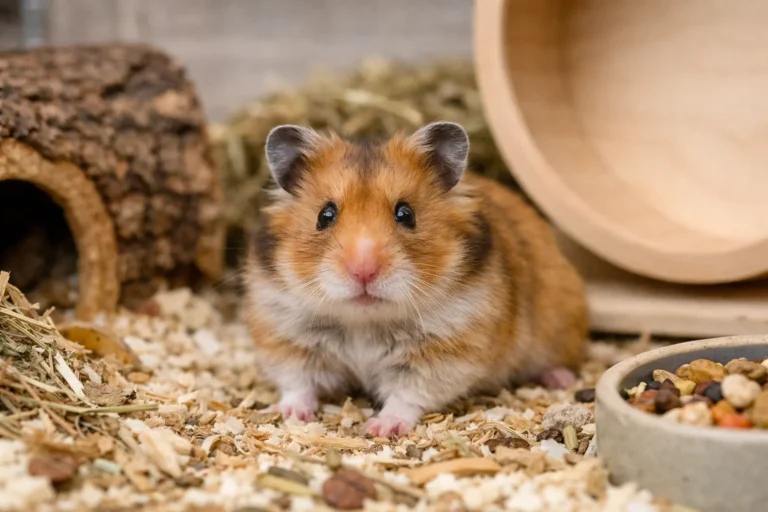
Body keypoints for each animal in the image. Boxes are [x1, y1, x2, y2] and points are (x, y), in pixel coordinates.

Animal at [244, 121, 588, 437]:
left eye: (406, 214)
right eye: (324, 215)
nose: (364, 270)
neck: (364, 322)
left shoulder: (445, 354)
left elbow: (407, 395)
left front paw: (380, 428)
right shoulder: (285, 336)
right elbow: (298, 382)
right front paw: (288, 414)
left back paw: (560, 379)